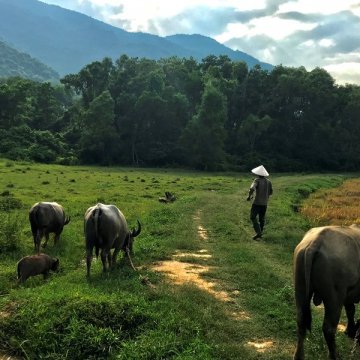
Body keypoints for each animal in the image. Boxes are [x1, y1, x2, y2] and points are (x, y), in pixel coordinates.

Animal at [292, 225, 360, 360]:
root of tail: (316, 241)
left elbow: (350, 310)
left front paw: (350, 331)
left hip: (300, 286)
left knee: (301, 321)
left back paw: (298, 356)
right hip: (334, 297)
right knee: (329, 328)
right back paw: (334, 355)